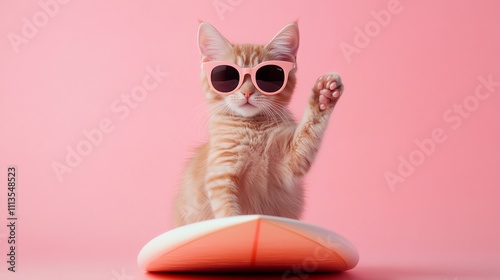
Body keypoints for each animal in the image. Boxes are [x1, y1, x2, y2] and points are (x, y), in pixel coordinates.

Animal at [173, 21, 344, 228]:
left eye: (266, 76)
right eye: (228, 77)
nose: (247, 92)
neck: (253, 129)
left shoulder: (291, 161)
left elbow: (309, 130)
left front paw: (324, 95)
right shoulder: (220, 176)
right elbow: (229, 214)